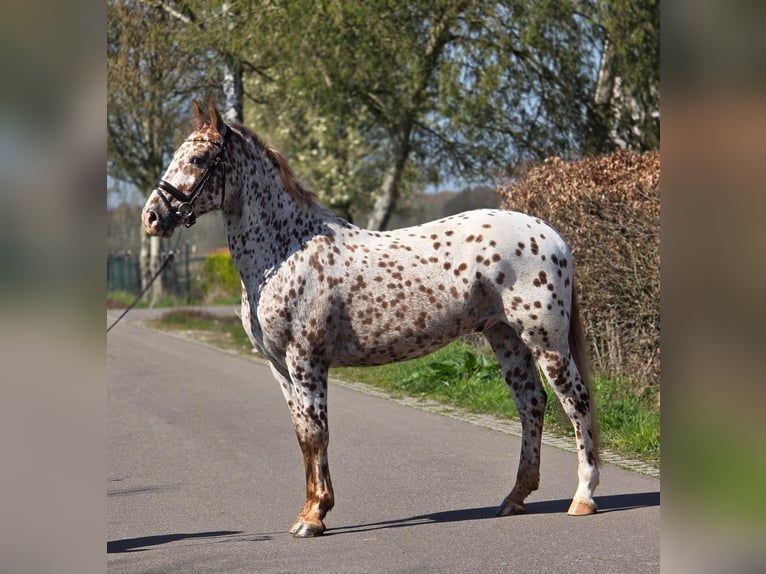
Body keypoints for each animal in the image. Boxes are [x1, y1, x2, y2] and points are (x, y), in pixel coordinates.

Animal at [142, 99, 600, 537]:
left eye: (198, 158)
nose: (152, 217)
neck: (284, 251)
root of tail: (551, 234)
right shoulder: (280, 368)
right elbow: (303, 437)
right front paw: (310, 510)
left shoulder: (306, 362)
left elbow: (317, 434)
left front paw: (314, 517)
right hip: (505, 337)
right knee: (531, 403)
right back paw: (515, 497)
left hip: (546, 341)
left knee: (575, 402)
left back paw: (583, 497)